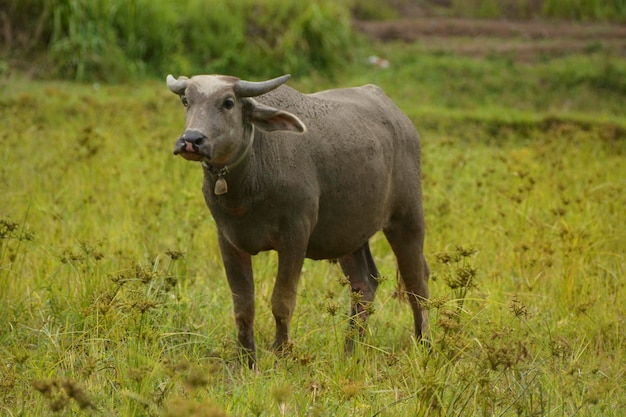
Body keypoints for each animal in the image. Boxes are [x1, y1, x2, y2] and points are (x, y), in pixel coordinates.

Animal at [166, 74, 426, 364]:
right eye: (186, 100)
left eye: (228, 102)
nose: (191, 140)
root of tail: (402, 122)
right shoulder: (228, 240)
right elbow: (243, 307)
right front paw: (247, 361)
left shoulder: (295, 238)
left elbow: (282, 302)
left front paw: (280, 355)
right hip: (348, 233)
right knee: (364, 283)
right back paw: (350, 351)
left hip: (407, 216)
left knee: (417, 282)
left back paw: (424, 343)